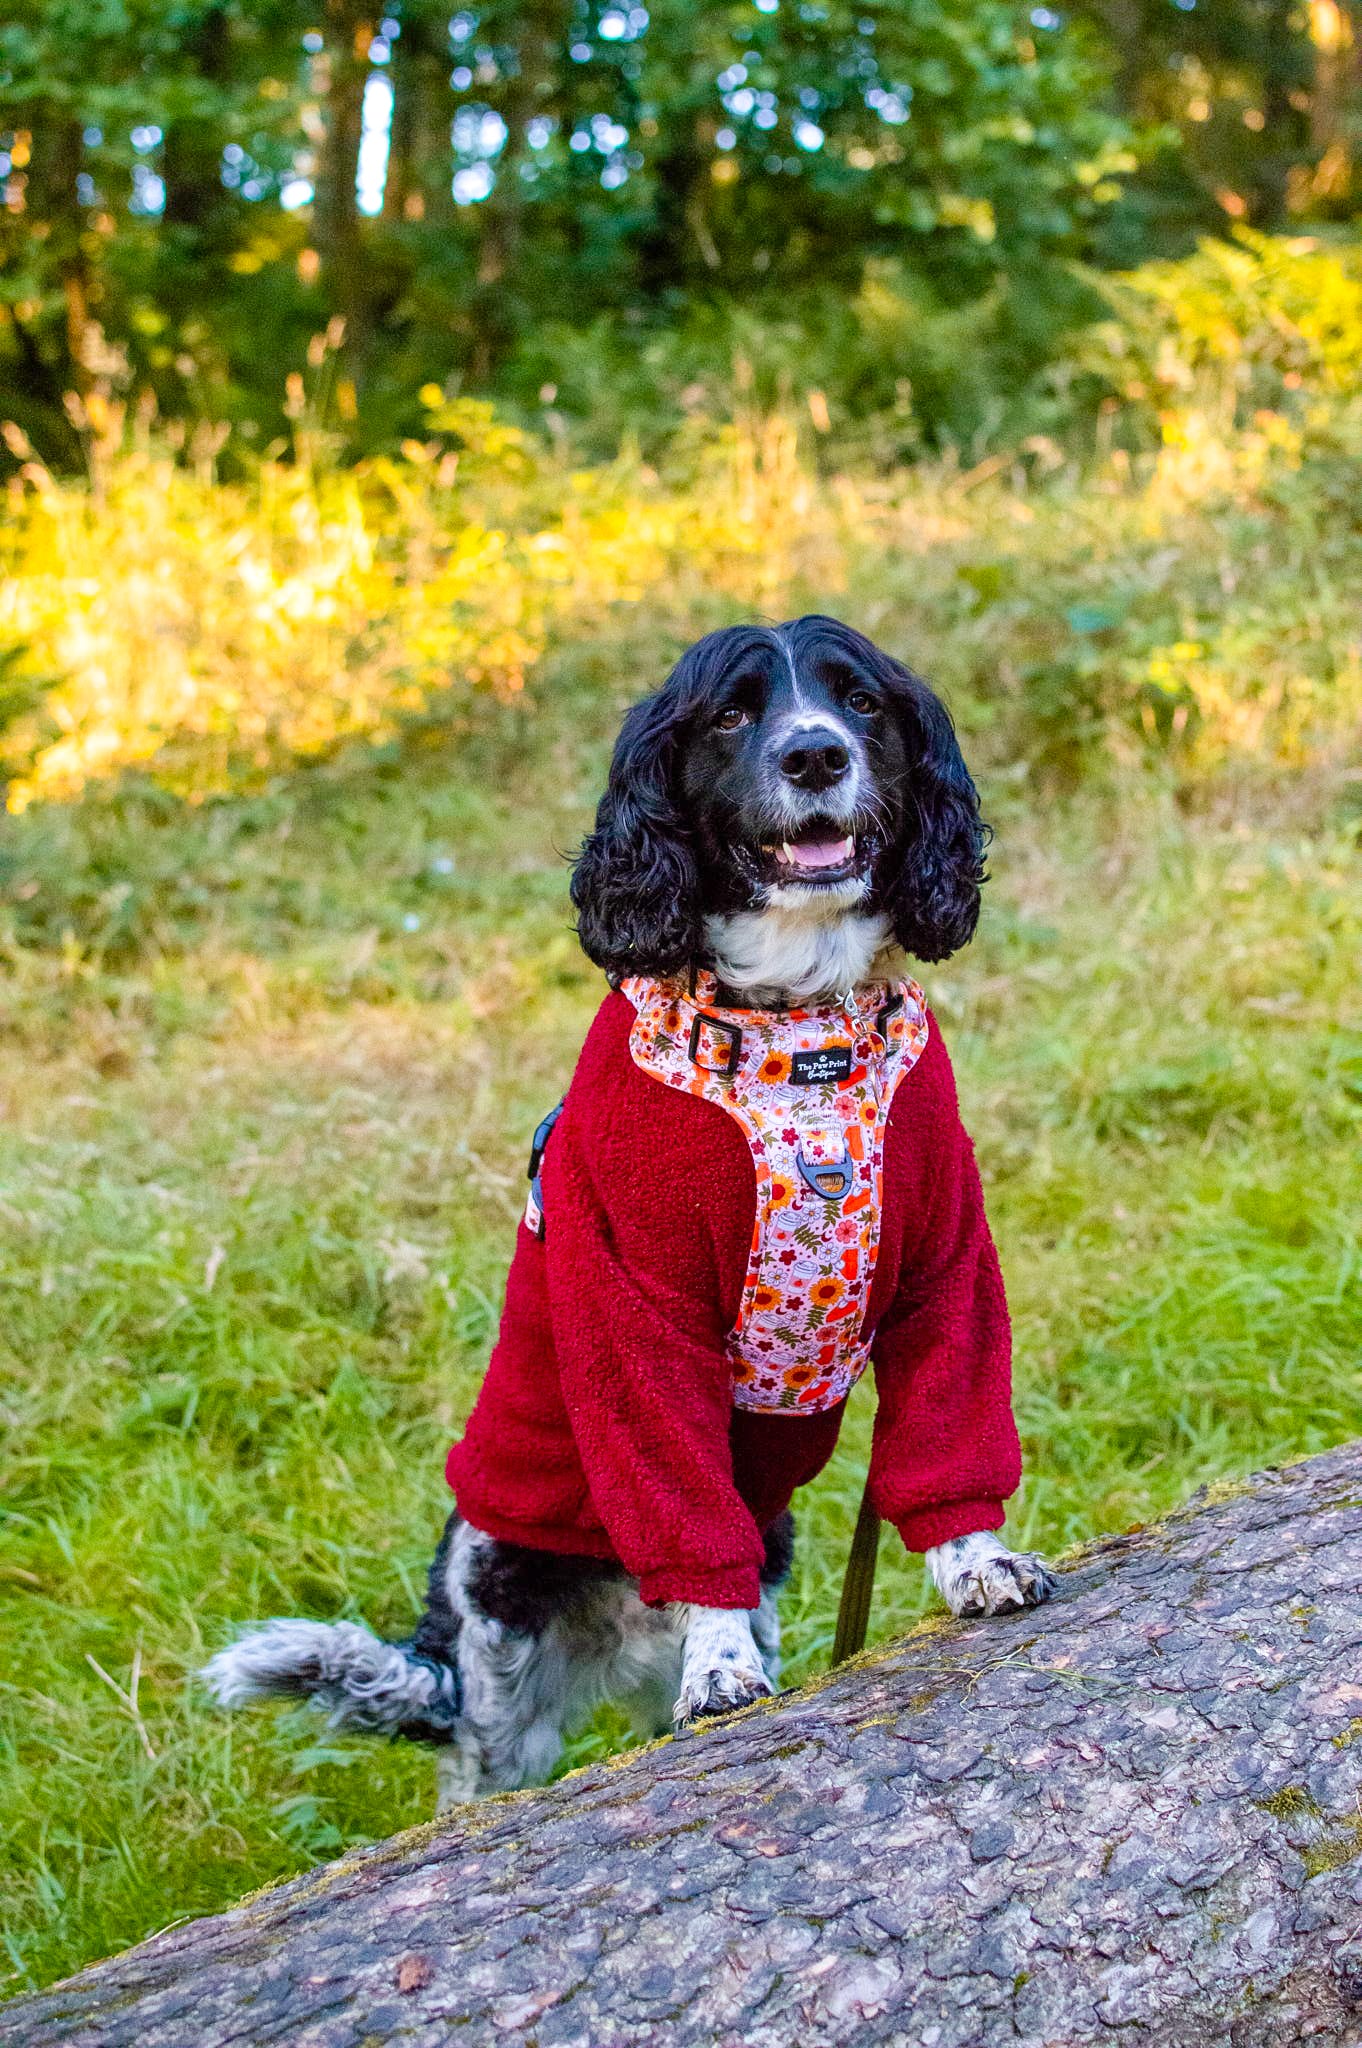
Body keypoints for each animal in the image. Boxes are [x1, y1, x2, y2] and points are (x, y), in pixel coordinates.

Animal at [201, 614, 1048, 1802]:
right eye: (731, 713)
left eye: (861, 702)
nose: (815, 756)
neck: (798, 1035)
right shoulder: (634, 1307)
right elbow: (683, 1510)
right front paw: (722, 1671)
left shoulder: (944, 1264)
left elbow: (948, 1430)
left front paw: (980, 1561)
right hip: (499, 1626)